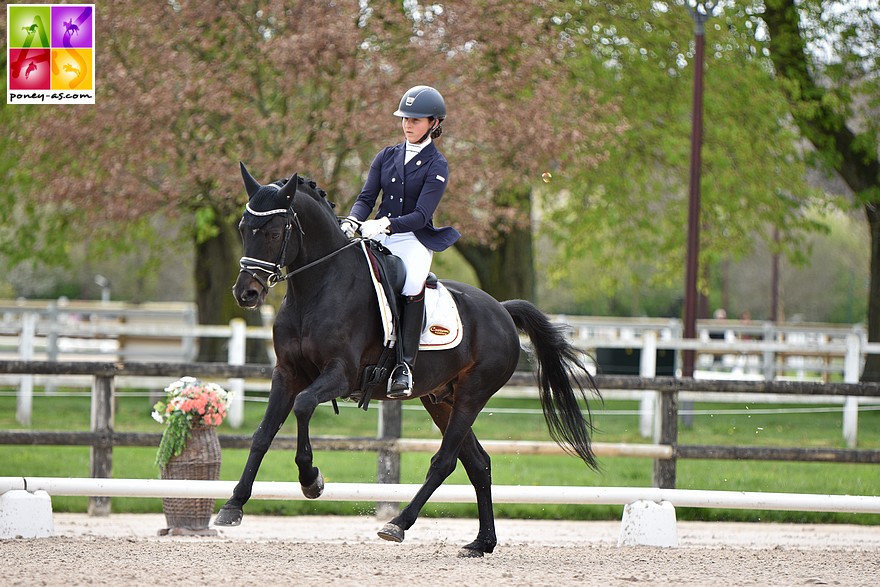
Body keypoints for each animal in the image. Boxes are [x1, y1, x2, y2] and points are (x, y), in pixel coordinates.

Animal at [214, 163, 600, 560]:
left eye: (275, 232)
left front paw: (312, 481)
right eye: (243, 228)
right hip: (441, 399)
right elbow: (262, 434)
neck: (317, 288)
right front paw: (233, 505)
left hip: (473, 394)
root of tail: (502, 311)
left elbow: (304, 406)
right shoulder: (287, 374)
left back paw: (397, 524)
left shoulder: (339, 374)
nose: (246, 293)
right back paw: (481, 542)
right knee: (478, 463)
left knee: (445, 461)